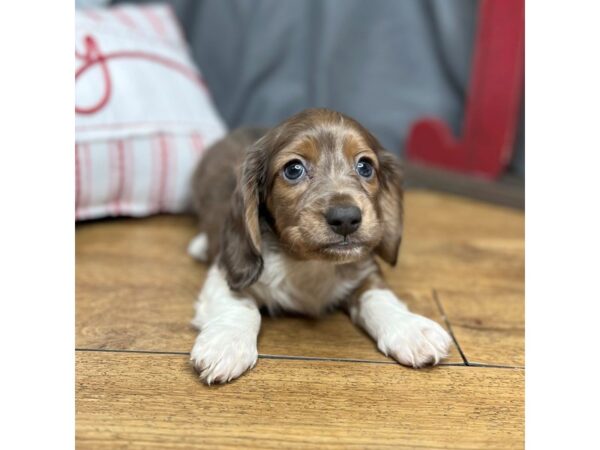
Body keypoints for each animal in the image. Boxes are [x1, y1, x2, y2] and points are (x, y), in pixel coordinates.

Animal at [188, 108, 450, 384]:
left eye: (365, 166)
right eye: (293, 169)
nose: (346, 218)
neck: (310, 262)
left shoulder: (365, 269)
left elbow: (379, 296)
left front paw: (410, 328)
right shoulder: (228, 270)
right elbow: (242, 305)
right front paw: (226, 342)